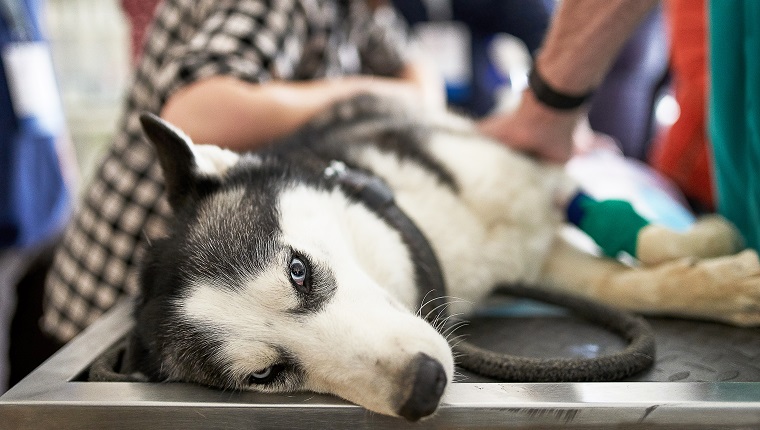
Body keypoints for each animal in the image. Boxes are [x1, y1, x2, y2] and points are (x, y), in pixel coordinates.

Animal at [131, 94, 760, 420]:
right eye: (264, 374)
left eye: (298, 270)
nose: (423, 388)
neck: (428, 235)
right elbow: (619, 283)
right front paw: (724, 282)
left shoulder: (536, 180)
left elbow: (639, 251)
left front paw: (714, 255)